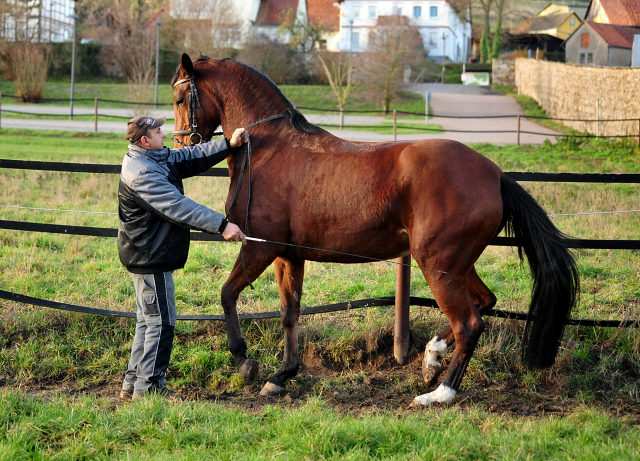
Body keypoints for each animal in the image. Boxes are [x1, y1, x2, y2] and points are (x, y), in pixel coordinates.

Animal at [171, 54, 580, 404]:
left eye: (178, 97)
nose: (182, 144)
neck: (271, 149)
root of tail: (496, 175)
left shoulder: (259, 248)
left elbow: (227, 295)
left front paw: (244, 361)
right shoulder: (287, 256)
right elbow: (290, 313)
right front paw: (282, 375)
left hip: (439, 266)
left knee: (469, 324)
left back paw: (440, 393)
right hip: (456, 265)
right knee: (484, 302)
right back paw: (432, 356)